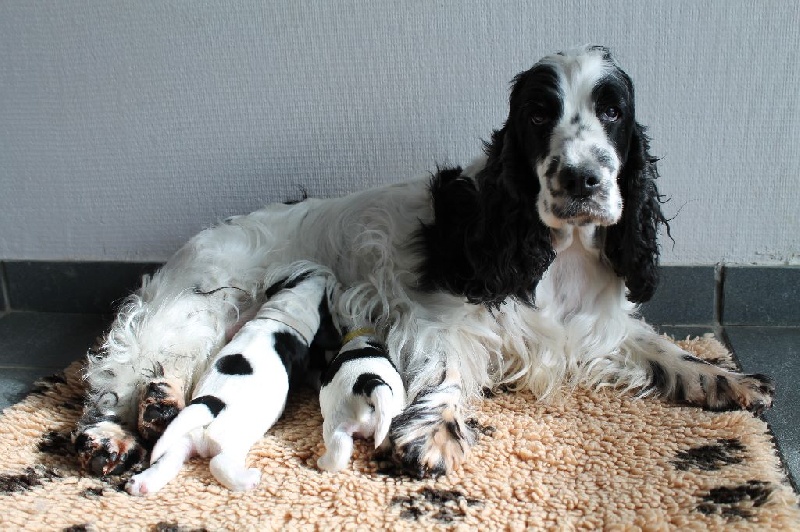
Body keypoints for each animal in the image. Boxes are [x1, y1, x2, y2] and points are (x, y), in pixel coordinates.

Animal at [126, 266, 340, 494]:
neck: (279, 316)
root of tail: (211, 407)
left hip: (180, 437)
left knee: (167, 460)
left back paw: (141, 484)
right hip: (231, 445)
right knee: (218, 464)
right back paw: (249, 479)